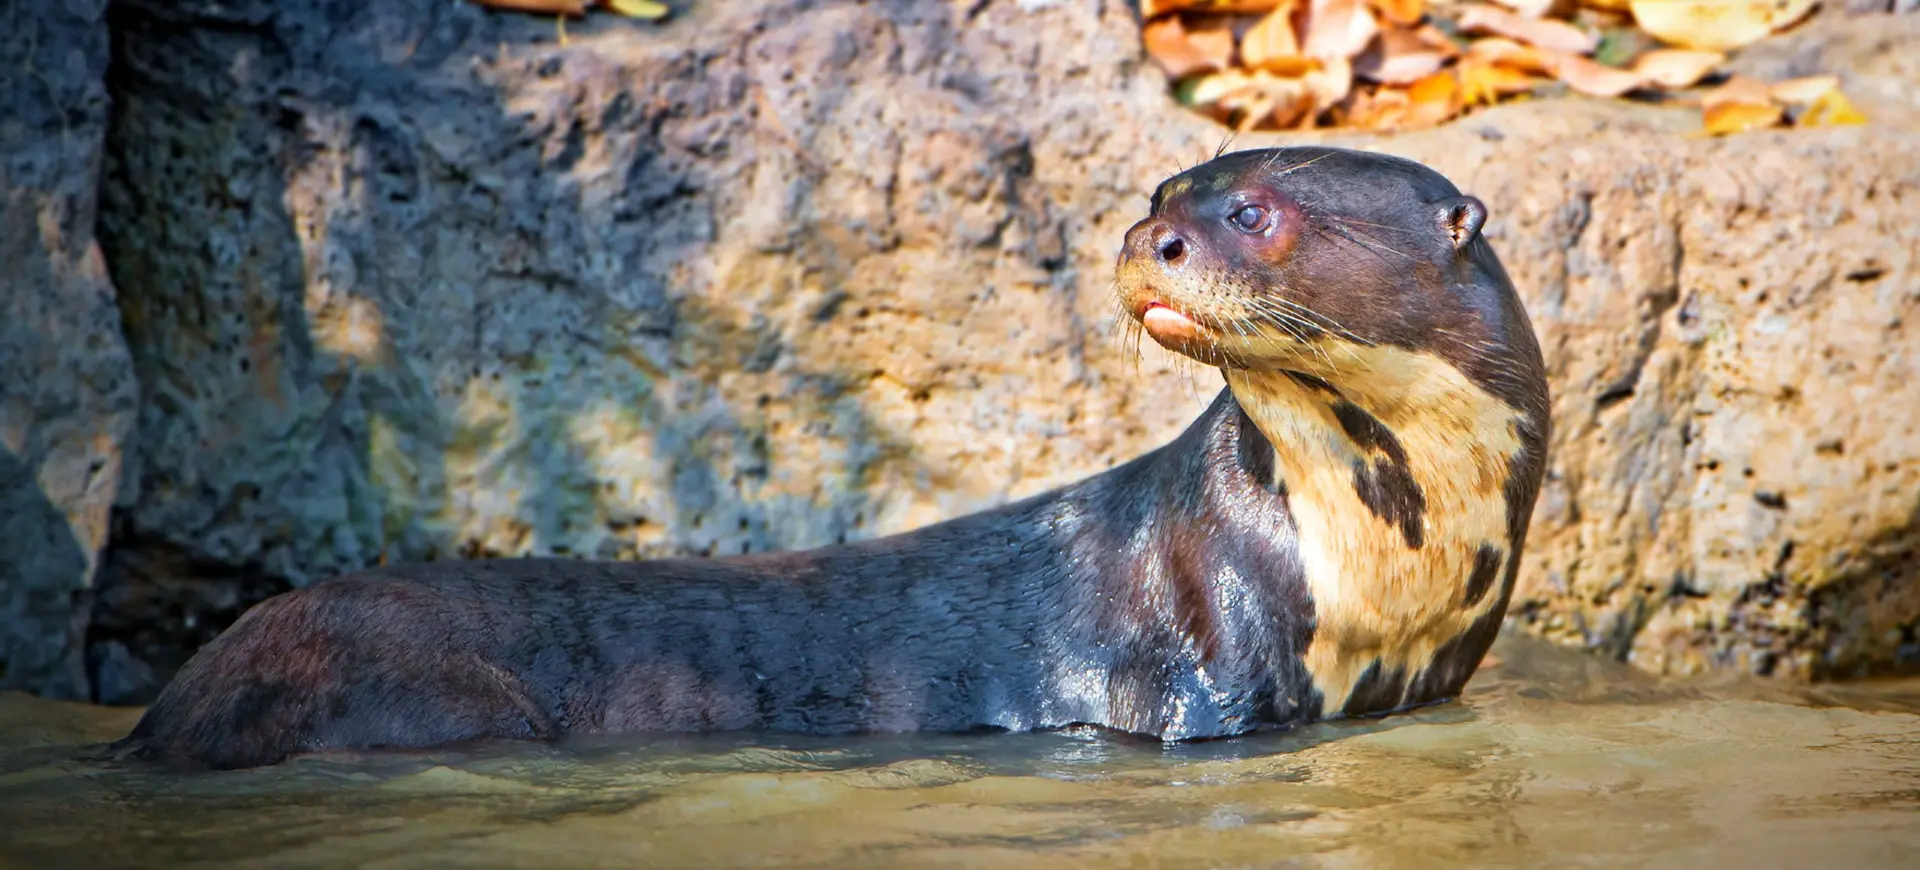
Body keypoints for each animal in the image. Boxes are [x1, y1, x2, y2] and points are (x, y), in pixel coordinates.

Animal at [112, 147, 1543, 768]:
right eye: (1160, 193)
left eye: (1252, 210)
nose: (1153, 241)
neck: (1383, 568)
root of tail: (172, 704)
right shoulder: (1200, 692)